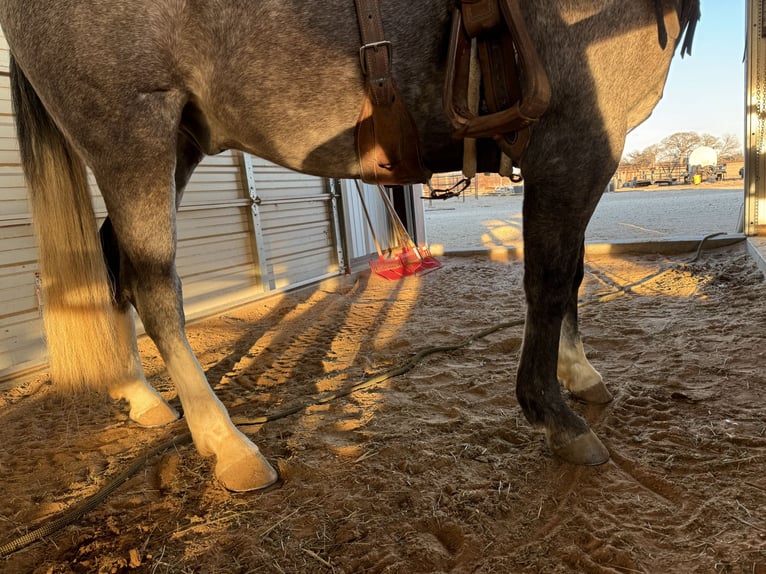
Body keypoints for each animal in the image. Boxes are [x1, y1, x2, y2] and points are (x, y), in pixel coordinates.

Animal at [0, 1, 704, 490]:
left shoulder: (575, 153)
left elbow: (572, 273)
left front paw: (579, 372)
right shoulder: (576, 142)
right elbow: (551, 279)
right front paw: (554, 412)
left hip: (178, 144)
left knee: (114, 264)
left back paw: (141, 396)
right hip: (131, 134)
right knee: (152, 284)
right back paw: (229, 446)